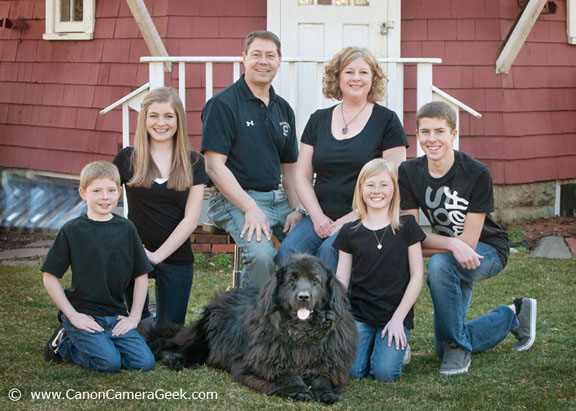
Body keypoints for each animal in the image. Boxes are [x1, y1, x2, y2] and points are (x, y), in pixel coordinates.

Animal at [148, 256, 356, 404]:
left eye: (315, 280)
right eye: (292, 279)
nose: (303, 296)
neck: (300, 331)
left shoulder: (330, 360)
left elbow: (323, 376)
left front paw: (325, 392)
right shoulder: (260, 361)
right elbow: (286, 373)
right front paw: (299, 389)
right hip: (206, 332)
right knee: (183, 344)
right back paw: (175, 359)